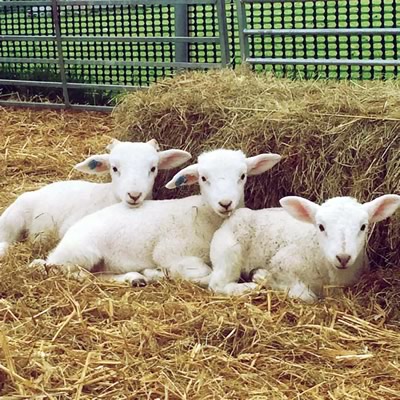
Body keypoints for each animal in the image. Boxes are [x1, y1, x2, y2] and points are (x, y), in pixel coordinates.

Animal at [31, 149, 282, 284]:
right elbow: (203, 272)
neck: (205, 218)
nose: (225, 203)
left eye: (243, 176)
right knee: (69, 271)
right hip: (81, 253)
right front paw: (169, 273)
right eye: (203, 178)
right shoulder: (170, 253)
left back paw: (137, 278)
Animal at [209, 195, 400, 304]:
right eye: (321, 227)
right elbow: (306, 296)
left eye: (363, 227)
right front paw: (263, 277)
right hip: (229, 253)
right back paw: (247, 287)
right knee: (217, 284)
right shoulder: (282, 262)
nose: (343, 257)